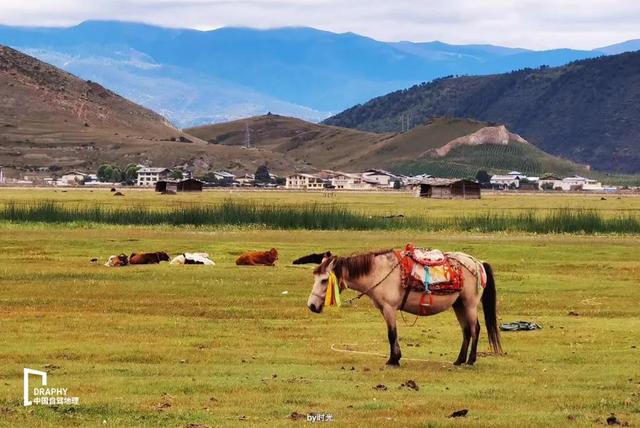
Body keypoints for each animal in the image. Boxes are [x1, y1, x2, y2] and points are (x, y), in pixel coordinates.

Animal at [308, 249, 502, 366]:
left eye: (324, 280)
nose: (311, 306)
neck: (378, 272)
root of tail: (478, 263)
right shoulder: (384, 309)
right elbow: (393, 334)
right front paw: (396, 357)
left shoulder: (389, 308)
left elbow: (392, 334)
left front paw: (393, 360)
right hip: (459, 305)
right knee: (466, 331)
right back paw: (459, 360)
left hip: (470, 305)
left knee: (475, 329)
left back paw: (470, 360)